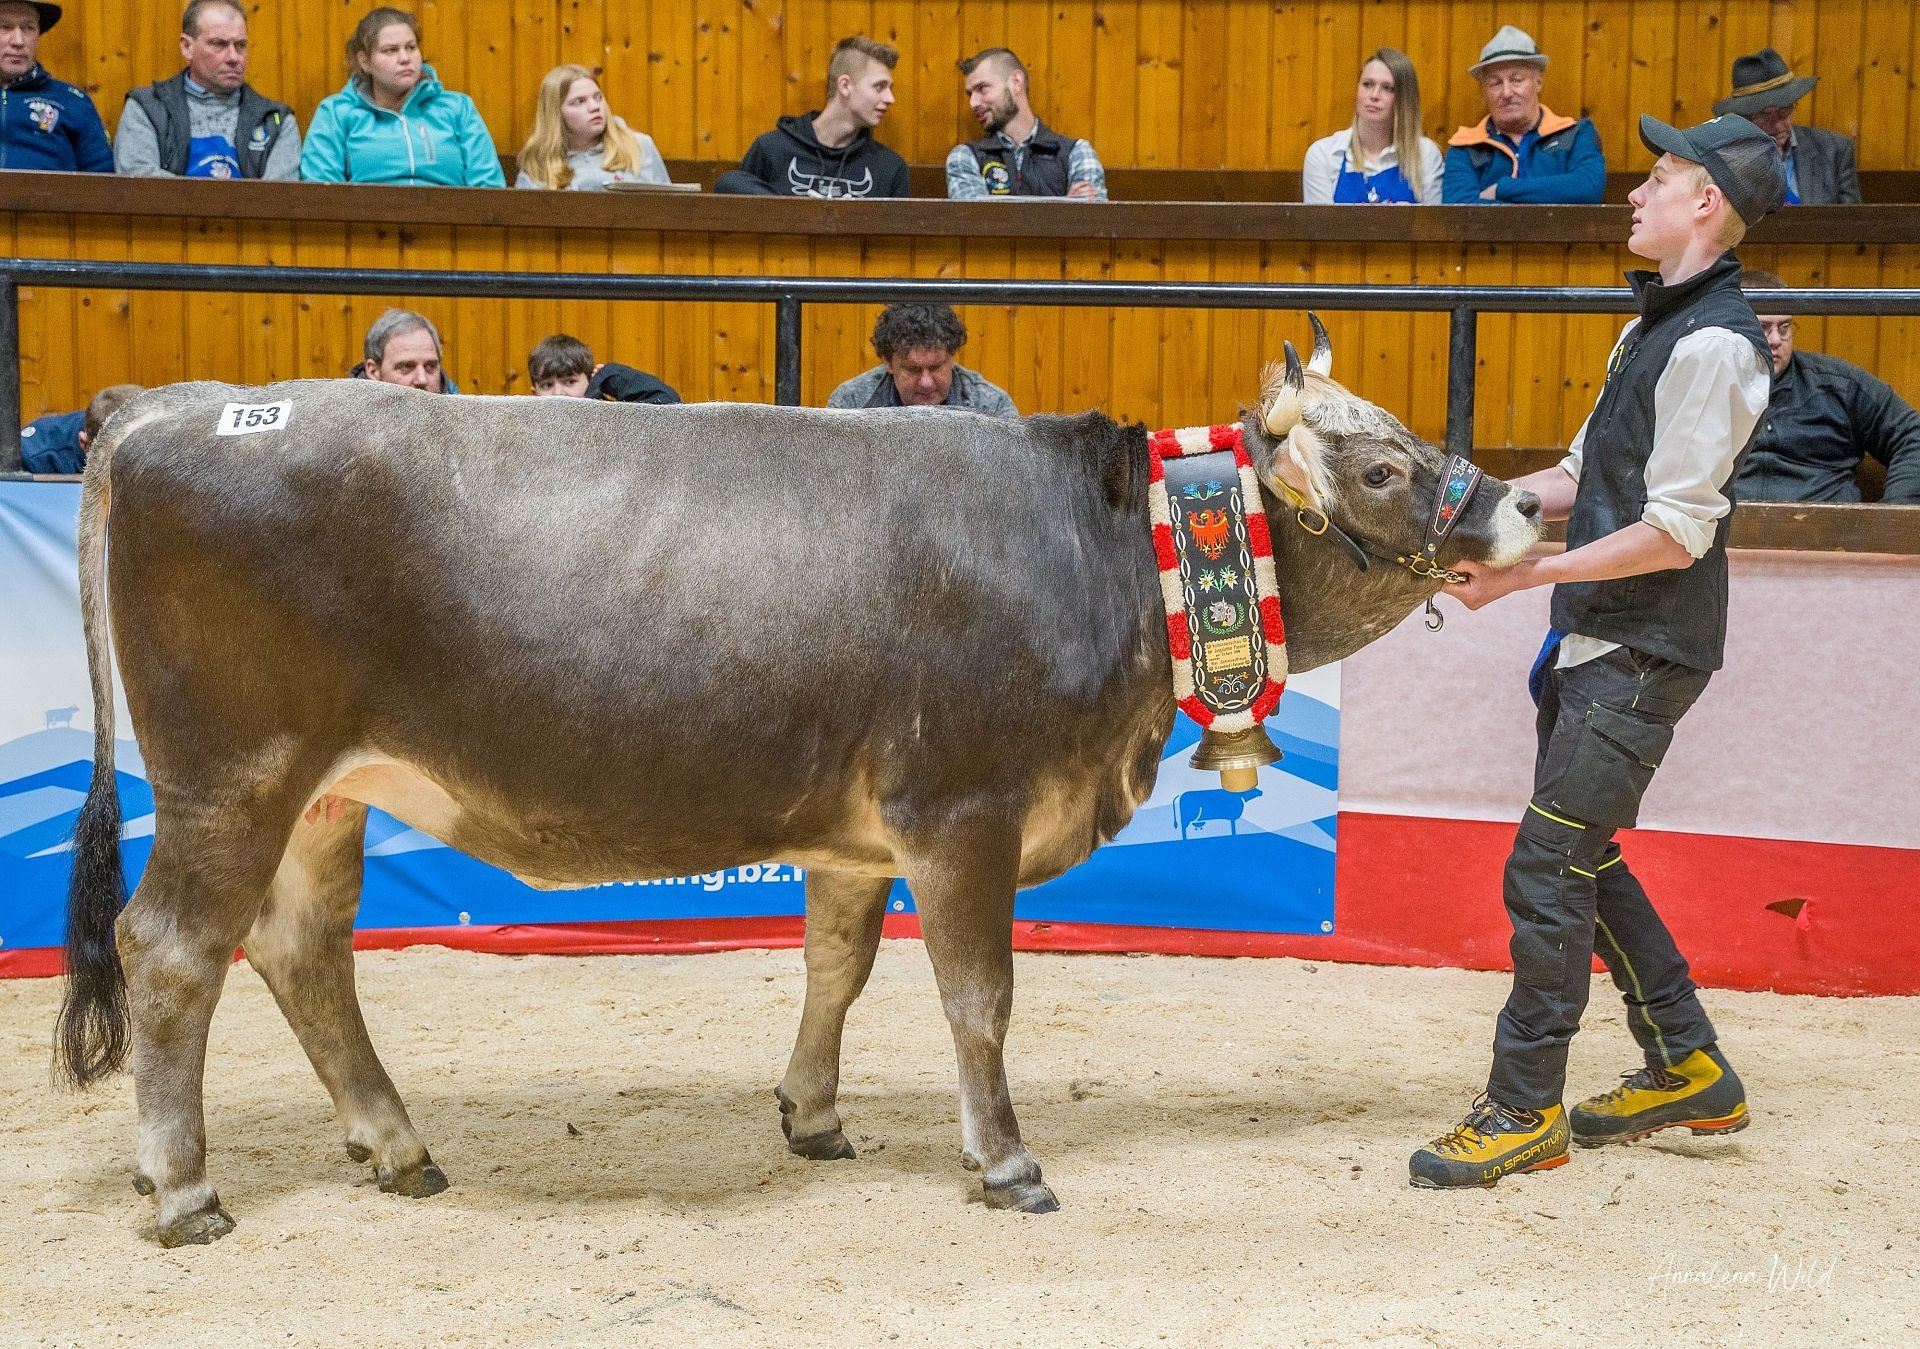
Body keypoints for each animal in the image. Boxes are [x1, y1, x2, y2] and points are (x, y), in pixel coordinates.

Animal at [55, 319, 1542, 1246]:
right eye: (1384, 465)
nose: (1527, 506)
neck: (1105, 551)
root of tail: (162, 407)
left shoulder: (857, 834)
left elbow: (839, 963)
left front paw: (812, 1113)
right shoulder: (964, 810)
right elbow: (977, 996)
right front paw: (1005, 1159)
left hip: (324, 793)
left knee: (303, 951)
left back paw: (395, 1143)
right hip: (234, 776)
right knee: (172, 950)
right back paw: (183, 1190)